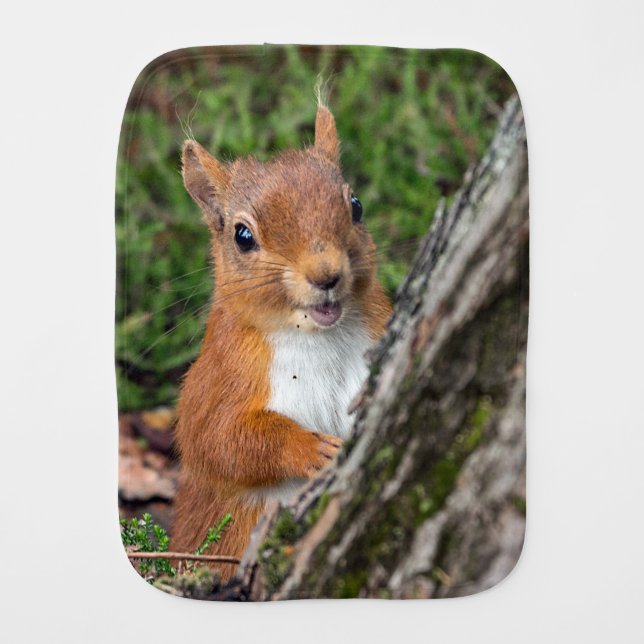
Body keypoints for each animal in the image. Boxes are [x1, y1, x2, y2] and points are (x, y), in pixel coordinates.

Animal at [171, 102, 392, 580]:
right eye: (242, 236)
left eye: (356, 205)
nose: (326, 274)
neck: (315, 335)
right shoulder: (220, 376)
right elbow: (218, 440)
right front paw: (311, 449)